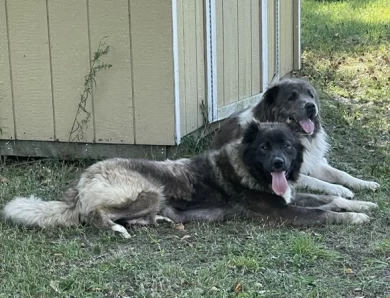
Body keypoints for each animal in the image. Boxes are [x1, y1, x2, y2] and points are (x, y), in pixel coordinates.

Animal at [1, 122, 376, 239]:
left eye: (285, 145)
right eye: (264, 147)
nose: (279, 163)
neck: (248, 167)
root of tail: (79, 185)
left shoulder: (289, 198)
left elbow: (332, 199)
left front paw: (363, 201)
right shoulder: (284, 213)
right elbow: (325, 213)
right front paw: (356, 217)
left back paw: (160, 221)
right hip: (150, 190)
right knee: (96, 216)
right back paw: (118, 228)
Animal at [212, 78, 380, 198]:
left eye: (310, 95)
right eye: (291, 98)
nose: (311, 106)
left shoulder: (313, 163)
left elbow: (340, 173)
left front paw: (364, 183)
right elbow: (318, 182)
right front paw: (340, 190)